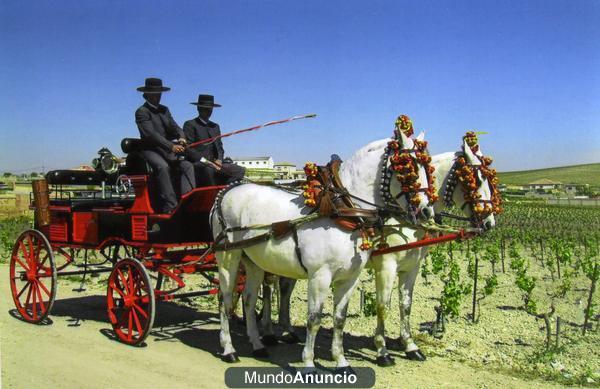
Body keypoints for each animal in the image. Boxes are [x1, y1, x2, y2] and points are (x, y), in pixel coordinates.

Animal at [212, 130, 436, 366]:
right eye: (408, 168)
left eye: (427, 167)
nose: (426, 212)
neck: (342, 209)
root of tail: (228, 190)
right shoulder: (321, 276)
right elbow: (314, 319)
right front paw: (309, 362)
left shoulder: (351, 277)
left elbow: (340, 318)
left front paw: (341, 361)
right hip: (228, 257)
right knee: (225, 299)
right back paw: (229, 348)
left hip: (253, 260)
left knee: (248, 299)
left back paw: (257, 344)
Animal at [270, 136, 500, 364]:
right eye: (475, 180)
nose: (490, 223)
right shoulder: (386, 266)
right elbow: (383, 306)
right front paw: (382, 350)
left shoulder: (412, 267)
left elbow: (405, 305)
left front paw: (410, 346)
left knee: (285, 288)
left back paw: (286, 331)